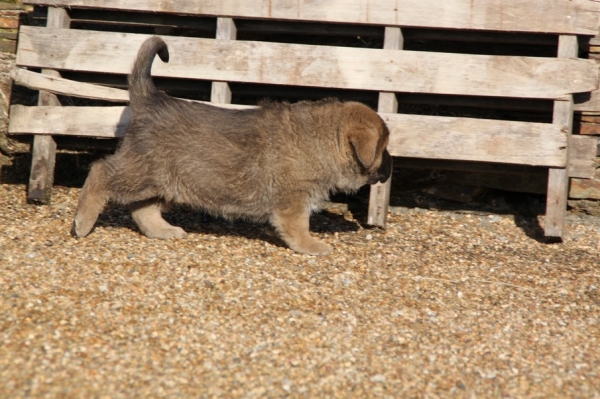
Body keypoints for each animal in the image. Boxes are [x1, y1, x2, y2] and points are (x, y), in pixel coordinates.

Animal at [72, 37, 394, 256]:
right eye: (383, 147)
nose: (392, 166)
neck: (320, 140)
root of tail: (151, 99)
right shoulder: (293, 201)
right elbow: (299, 227)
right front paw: (311, 246)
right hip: (141, 172)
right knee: (100, 172)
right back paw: (82, 222)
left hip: (166, 181)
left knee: (142, 209)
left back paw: (163, 230)